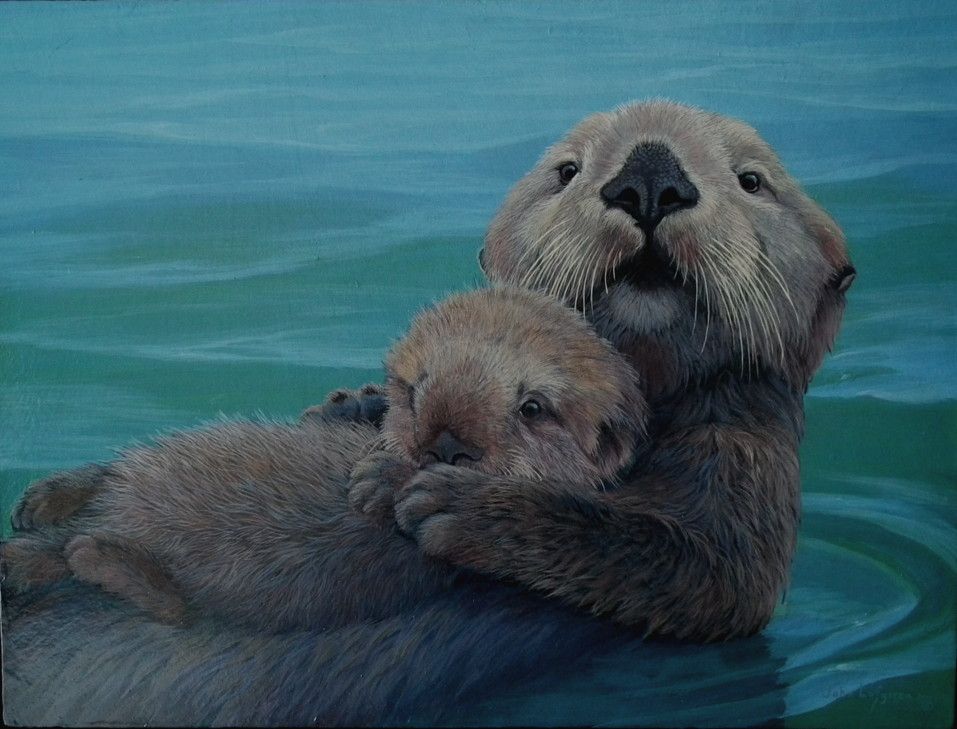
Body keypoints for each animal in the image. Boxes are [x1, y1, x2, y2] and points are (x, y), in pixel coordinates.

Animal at [1, 287, 644, 631]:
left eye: (534, 408)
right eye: (416, 388)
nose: (444, 444)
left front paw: (385, 479)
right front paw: (370, 449)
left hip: (218, 591)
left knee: (172, 606)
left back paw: (97, 557)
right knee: (108, 487)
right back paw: (51, 501)